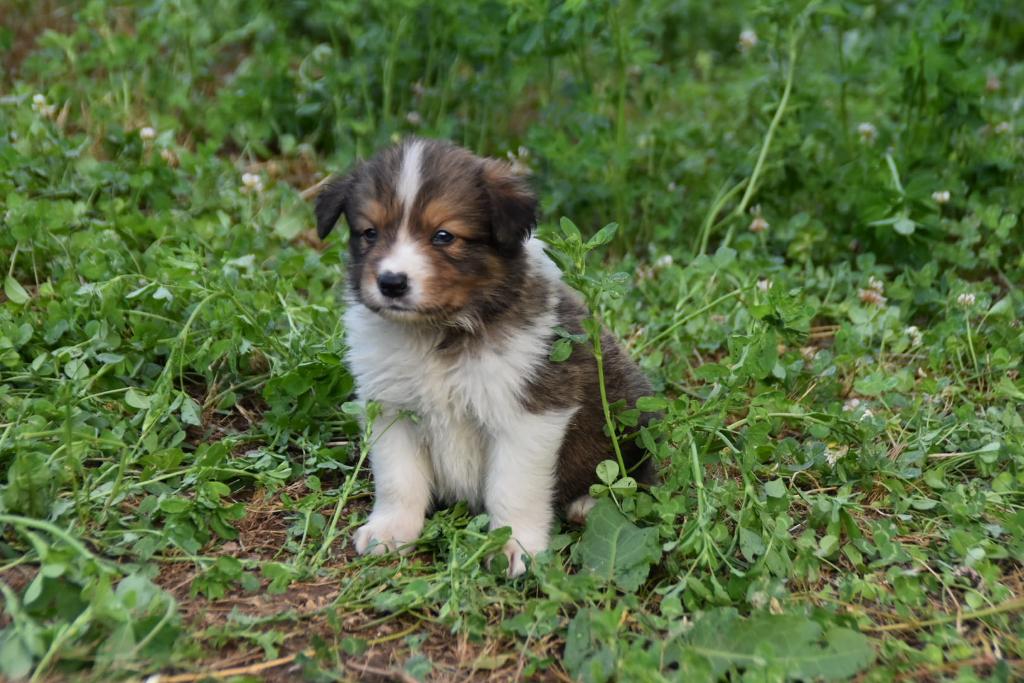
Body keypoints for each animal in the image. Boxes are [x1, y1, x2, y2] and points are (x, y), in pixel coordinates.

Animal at [313, 136, 655, 573]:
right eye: (369, 233)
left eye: (444, 236)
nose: (391, 282)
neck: (438, 333)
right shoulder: (391, 409)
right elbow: (398, 478)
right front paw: (390, 530)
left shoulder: (528, 413)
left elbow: (512, 487)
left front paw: (514, 545)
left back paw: (588, 503)